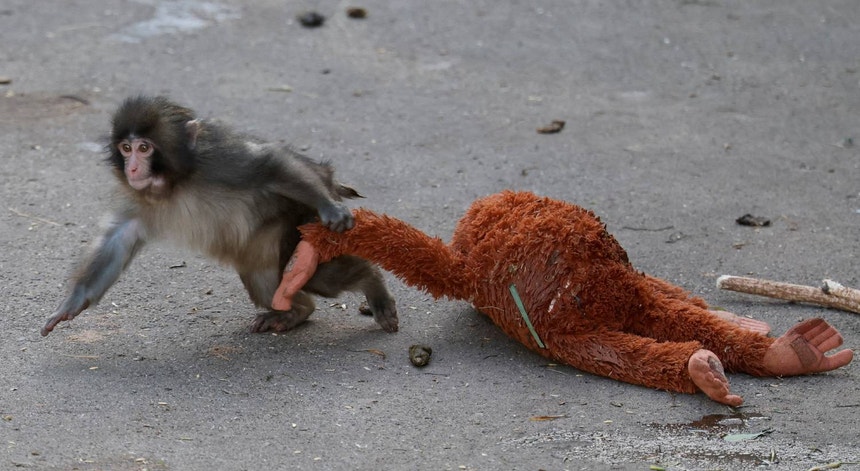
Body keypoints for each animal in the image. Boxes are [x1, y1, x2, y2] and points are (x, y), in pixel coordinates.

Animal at [41, 95, 398, 337]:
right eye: (125, 149)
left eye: (144, 148)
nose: (132, 168)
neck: (176, 183)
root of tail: (329, 177)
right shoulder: (137, 197)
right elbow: (119, 237)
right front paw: (72, 303)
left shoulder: (219, 160)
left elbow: (267, 165)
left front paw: (331, 208)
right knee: (266, 281)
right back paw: (296, 312)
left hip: (302, 218)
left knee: (323, 275)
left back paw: (372, 284)